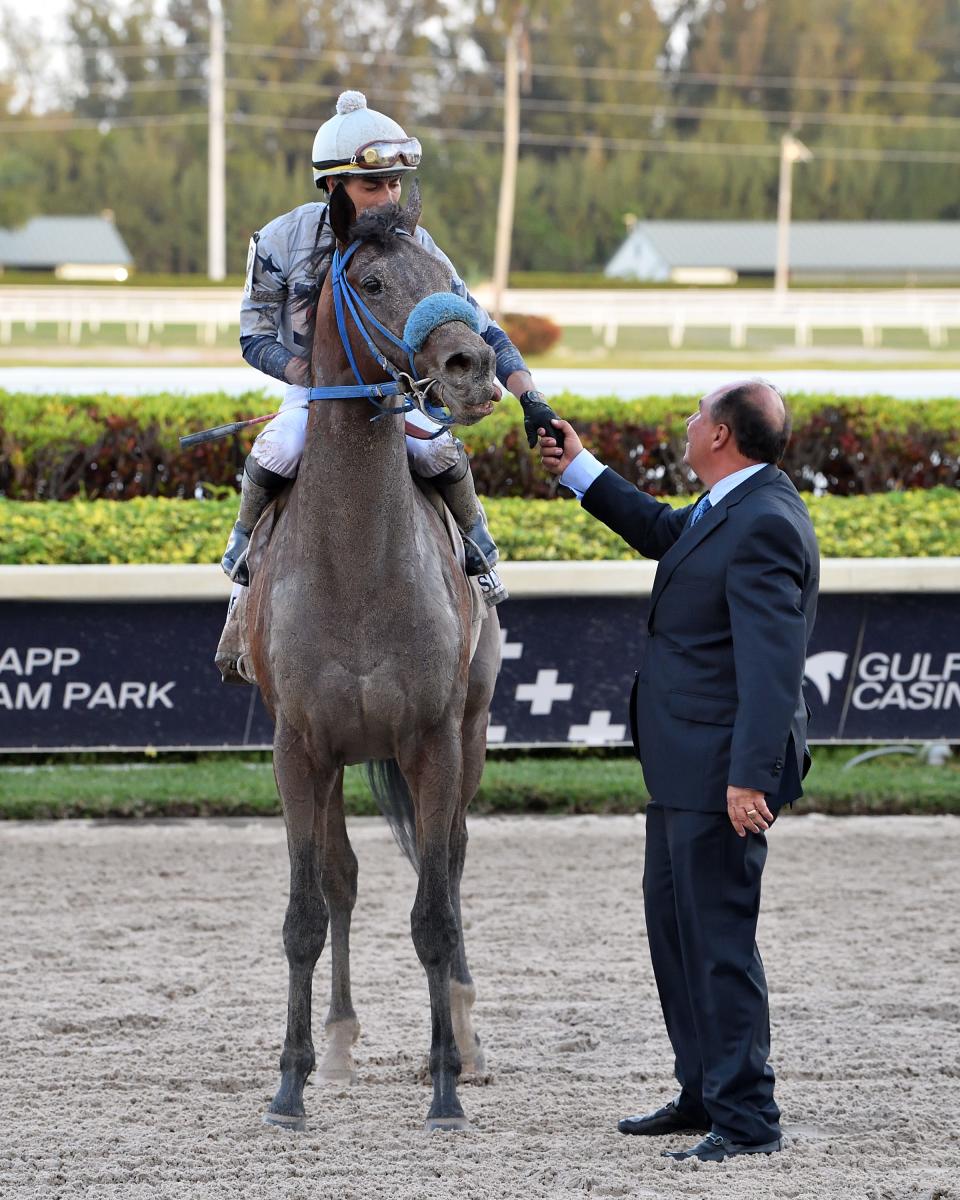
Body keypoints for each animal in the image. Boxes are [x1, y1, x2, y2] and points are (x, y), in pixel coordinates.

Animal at [246, 182, 501, 1128]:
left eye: (447, 277)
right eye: (377, 280)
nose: (472, 364)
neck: (356, 563)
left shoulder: (431, 738)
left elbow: (432, 913)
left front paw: (444, 1085)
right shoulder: (300, 747)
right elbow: (307, 913)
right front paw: (291, 1081)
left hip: (473, 726)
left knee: (450, 864)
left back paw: (461, 1036)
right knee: (345, 876)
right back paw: (342, 1042)